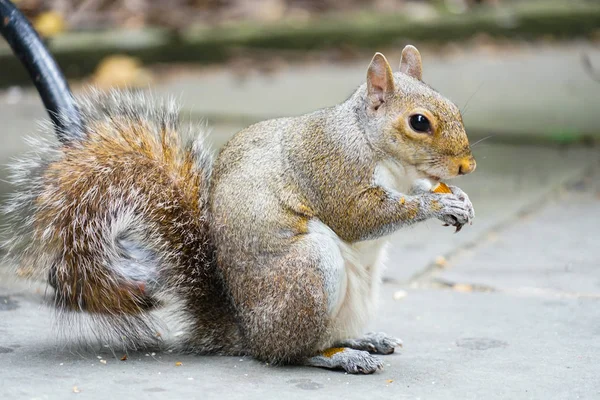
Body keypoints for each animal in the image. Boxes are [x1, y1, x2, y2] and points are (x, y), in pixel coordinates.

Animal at [2, 0, 476, 376]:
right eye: (419, 122)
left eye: (454, 106)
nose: (467, 166)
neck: (379, 149)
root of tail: (246, 332)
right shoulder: (331, 168)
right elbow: (359, 216)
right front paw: (434, 206)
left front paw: (459, 200)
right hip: (308, 272)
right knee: (289, 352)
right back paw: (337, 356)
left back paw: (363, 340)